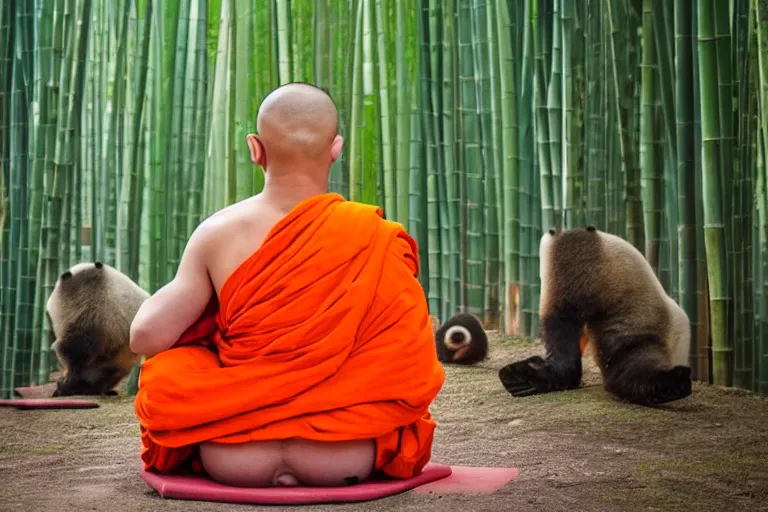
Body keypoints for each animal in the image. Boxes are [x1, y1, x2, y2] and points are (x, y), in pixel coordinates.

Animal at [496, 226, 692, 406]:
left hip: (636, 322)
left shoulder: (575, 263)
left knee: (632, 363)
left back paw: (672, 383)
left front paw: (528, 375)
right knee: (626, 368)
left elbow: (562, 321)